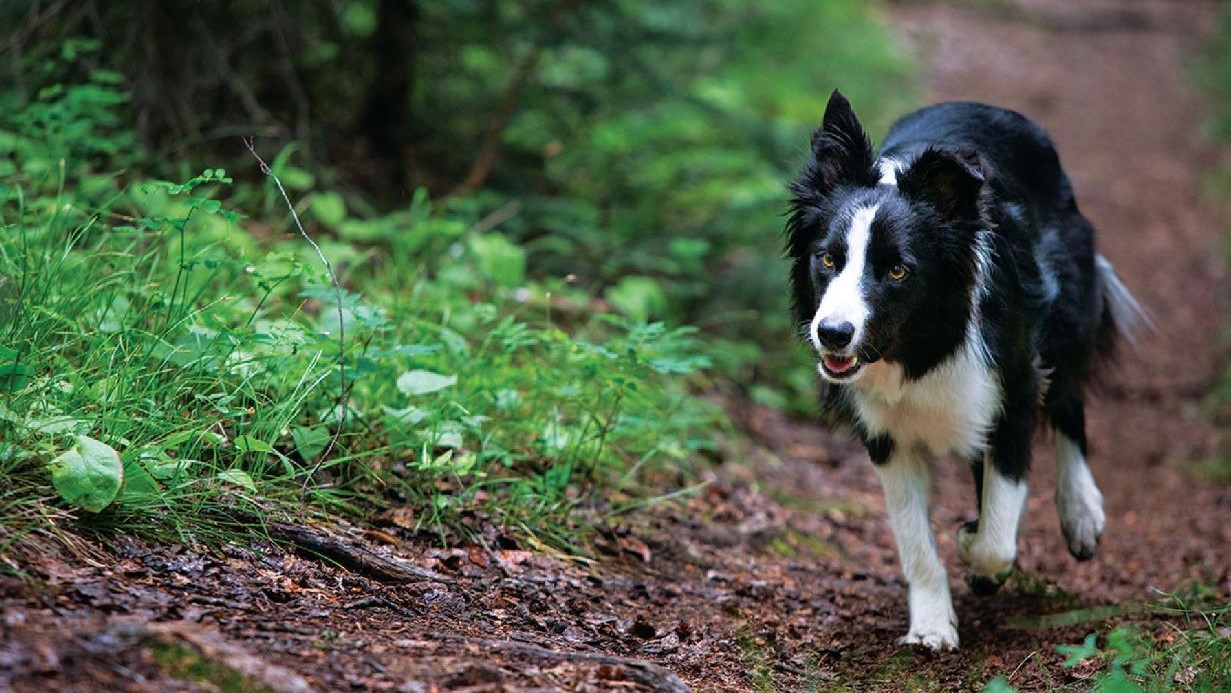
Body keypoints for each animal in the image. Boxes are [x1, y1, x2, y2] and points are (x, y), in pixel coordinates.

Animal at [787, 91, 1142, 649]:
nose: (833, 333)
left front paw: (973, 548)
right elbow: (915, 542)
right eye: (826, 259)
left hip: (1065, 307)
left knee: (1067, 399)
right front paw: (932, 627)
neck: (920, 349)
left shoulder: (1011, 389)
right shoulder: (886, 434)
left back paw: (1082, 513)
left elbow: (998, 536)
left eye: (897, 269)